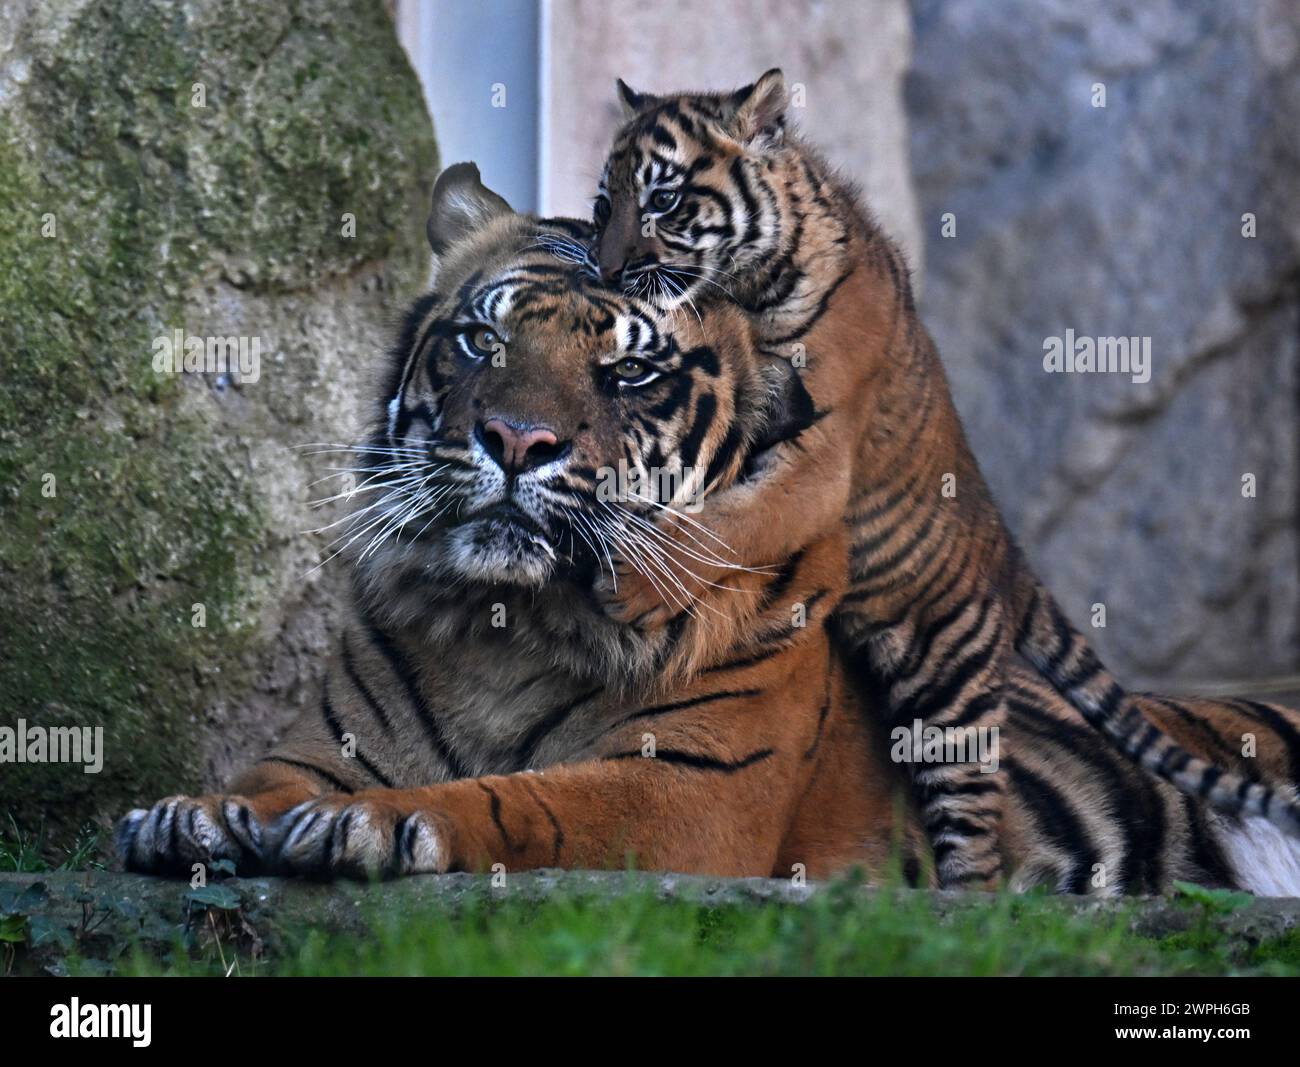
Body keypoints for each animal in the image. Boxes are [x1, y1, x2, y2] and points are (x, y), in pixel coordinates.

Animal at [114, 166, 1300, 894]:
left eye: (629, 372)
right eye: (479, 341)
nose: (514, 440)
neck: (505, 629)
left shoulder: (687, 790)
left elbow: (525, 800)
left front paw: (385, 823)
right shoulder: (317, 746)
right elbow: (262, 783)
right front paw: (195, 814)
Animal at [595, 64, 1300, 883]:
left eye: (663, 200)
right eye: (603, 204)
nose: (608, 271)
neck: (745, 287)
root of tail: (1007, 551)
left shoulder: (820, 457)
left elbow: (737, 521)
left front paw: (637, 585)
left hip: (946, 685)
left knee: (979, 841)